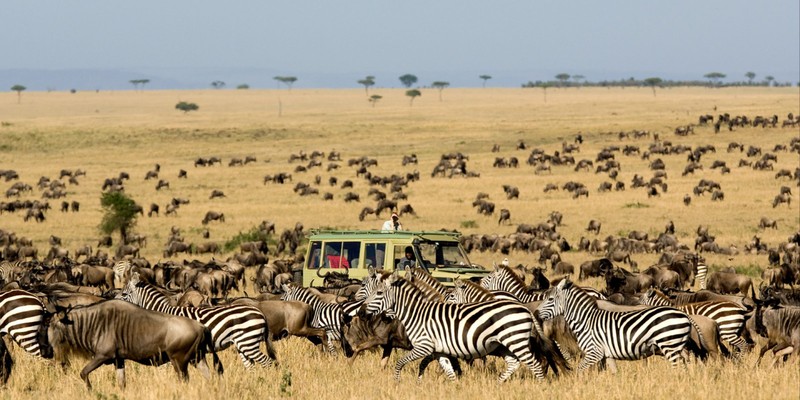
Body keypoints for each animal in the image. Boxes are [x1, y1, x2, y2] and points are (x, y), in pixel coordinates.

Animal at [115, 276, 278, 368]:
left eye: (124, 294)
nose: (112, 302)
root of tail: (260, 313)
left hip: (248, 342)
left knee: (268, 362)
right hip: (243, 344)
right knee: (251, 366)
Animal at [364, 270, 548, 382]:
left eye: (378, 293)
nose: (362, 310)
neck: (417, 313)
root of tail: (524, 307)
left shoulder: (424, 346)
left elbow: (400, 363)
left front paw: (397, 382)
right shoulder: (439, 350)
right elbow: (448, 371)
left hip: (515, 340)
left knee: (535, 364)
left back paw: (540, 386)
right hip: (504, 344)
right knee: (514, 363)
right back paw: (498, 383)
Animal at [540, 278, 696, 372]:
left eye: (550, 299)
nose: (536, 312)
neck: (586, 320)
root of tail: (684, 314)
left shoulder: (594, 352)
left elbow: (579, 370)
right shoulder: (607, 354)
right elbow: (613, 373)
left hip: (669, 345)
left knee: (679, 367)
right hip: (677, 345)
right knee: (685, 363)